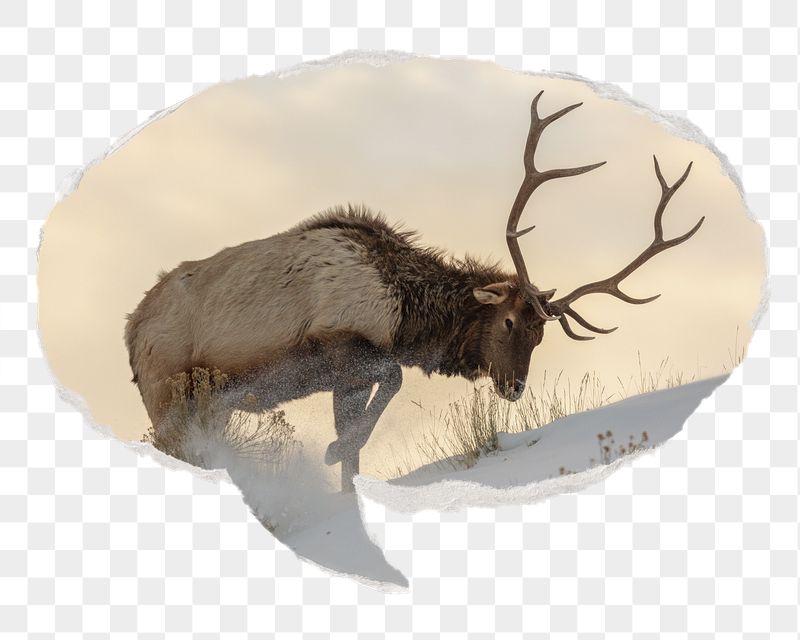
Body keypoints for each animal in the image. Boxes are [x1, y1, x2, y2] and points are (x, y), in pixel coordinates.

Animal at [125, 91, 704, 491]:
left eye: (542, 335)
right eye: (510, 321)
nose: (514, 387)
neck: (405, 315)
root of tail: (130, 331)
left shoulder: (346, 376)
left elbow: (362, 440)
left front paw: (343, 471)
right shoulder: (339, 345)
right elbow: (392, 383)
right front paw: (331, 451)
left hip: (208, 405)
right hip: (167, 396)